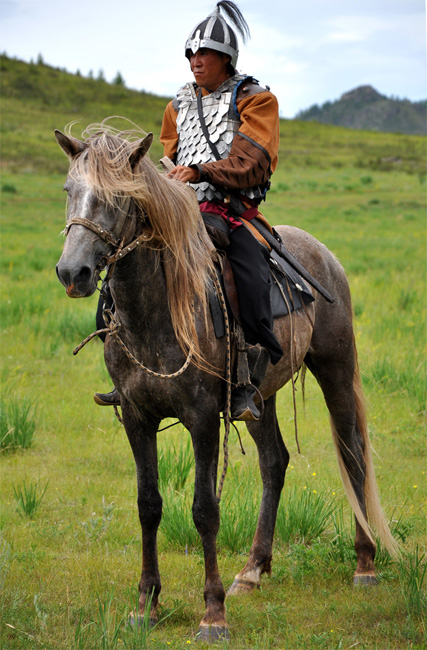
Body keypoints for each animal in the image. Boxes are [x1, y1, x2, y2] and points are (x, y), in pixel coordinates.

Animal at [53, 121, 398, 636]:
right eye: (69, 191)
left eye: (119, 198)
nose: (72, 272)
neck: (158, 310)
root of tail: (322, 253)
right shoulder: (136, 416)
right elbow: (148, 504)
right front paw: (146, 603)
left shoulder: (201, 417)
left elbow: (204, 509)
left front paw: (213, 612)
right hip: (257, 398)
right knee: (274, 462)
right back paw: (252, 570)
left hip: (336, 367)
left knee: (353, 451)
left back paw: (365, 563)